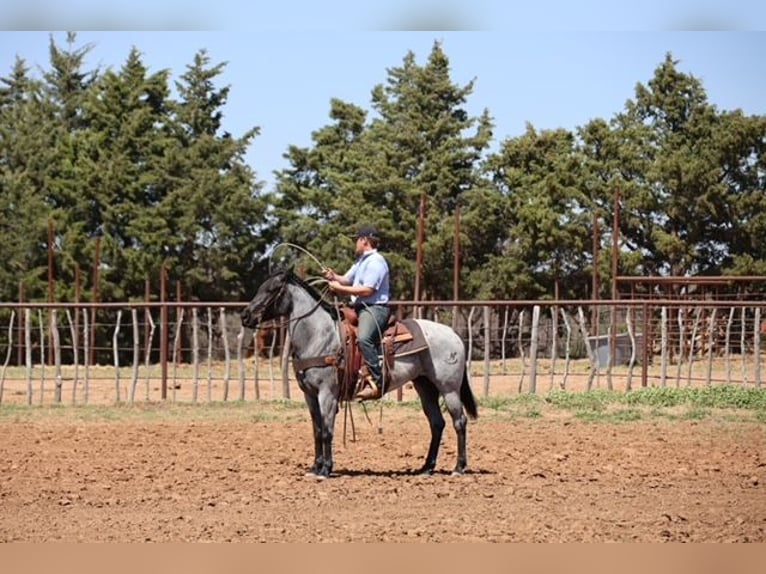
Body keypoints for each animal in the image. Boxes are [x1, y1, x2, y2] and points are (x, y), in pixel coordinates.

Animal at [240, 267, 478, 478]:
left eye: (272, 289)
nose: (245, 316)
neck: (318, 335)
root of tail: (453, 334)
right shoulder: (310, 395)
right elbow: (317, 430)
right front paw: (314, 468)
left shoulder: (327, 393)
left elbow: (327, 430)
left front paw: (326, 470)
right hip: (425, 386)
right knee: (437, 423)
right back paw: (426, 468)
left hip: (449, 388)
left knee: (460, 421)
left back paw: (459, 467)